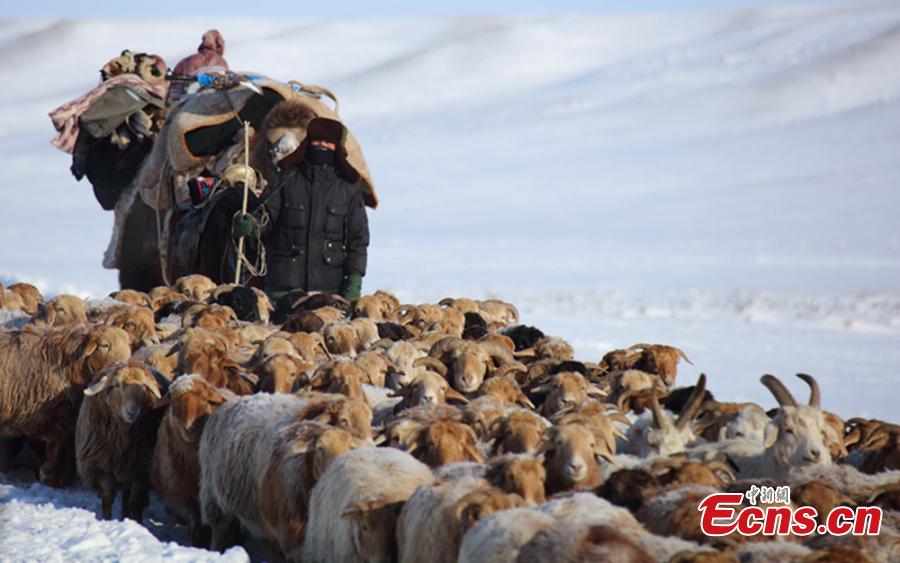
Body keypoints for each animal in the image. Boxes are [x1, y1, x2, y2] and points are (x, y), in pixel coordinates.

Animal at [0, 324, 131, 486]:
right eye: (105, 345)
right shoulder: (37, 417)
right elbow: (57, 441)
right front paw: (47, 474)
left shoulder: (64, 416)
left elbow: (64, 443)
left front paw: (62, 476)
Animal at [76, 364, 169, 524]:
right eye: (117, 385)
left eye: (144, 387)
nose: (131, 412)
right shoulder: (101, 465)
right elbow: (108, 495)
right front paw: (106, 519)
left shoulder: (142, 469)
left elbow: (135, 500)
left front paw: (136, 522)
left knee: (127, 495)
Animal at [151, 374, 230, 548]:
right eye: (174, 402)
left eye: (204, 399)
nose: (189, 427)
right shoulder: (182, 494)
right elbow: (195, 522)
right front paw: (198, 541)